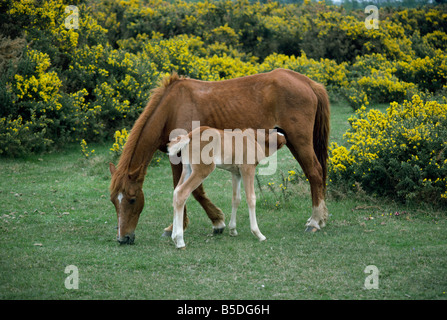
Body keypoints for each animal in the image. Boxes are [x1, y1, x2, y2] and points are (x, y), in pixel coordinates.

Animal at [110, 69, 330, 245]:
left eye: (132, 199)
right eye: (113, 201)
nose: (123, 238)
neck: (173, 107)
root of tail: (307, 82)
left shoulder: (183, 159)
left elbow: (194, 191)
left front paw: (216, 222)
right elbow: (182, 189)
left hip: (299, 141)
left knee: (314, 173)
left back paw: (315, 221)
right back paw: (318, 219)